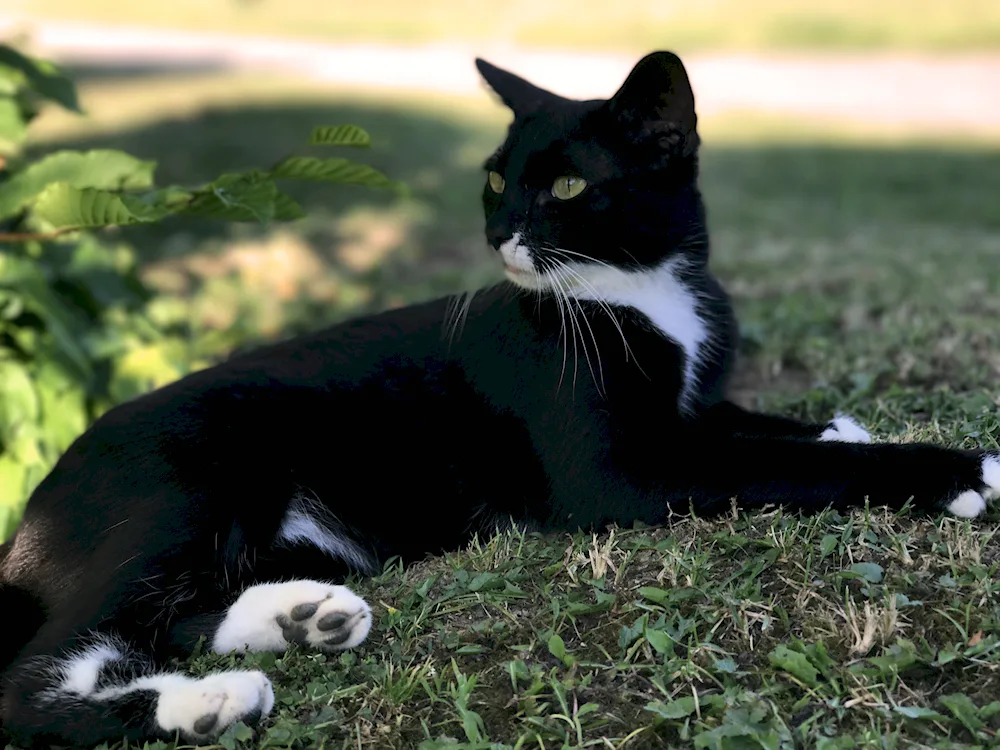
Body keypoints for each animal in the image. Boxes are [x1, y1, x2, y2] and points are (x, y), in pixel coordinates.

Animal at [1, 50, 1000, 748]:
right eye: (493, 175)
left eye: (567, 183)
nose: (500, 231)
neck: (635, 289)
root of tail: (30, 524)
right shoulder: (621, 471)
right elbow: (780, 463)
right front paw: (959, 467)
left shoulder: (691, 411)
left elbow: (774, 430)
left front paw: (861, 425)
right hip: (183, 482)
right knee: (43, 670)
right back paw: (212, 702)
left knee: (166, 617)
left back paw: (300, 617)